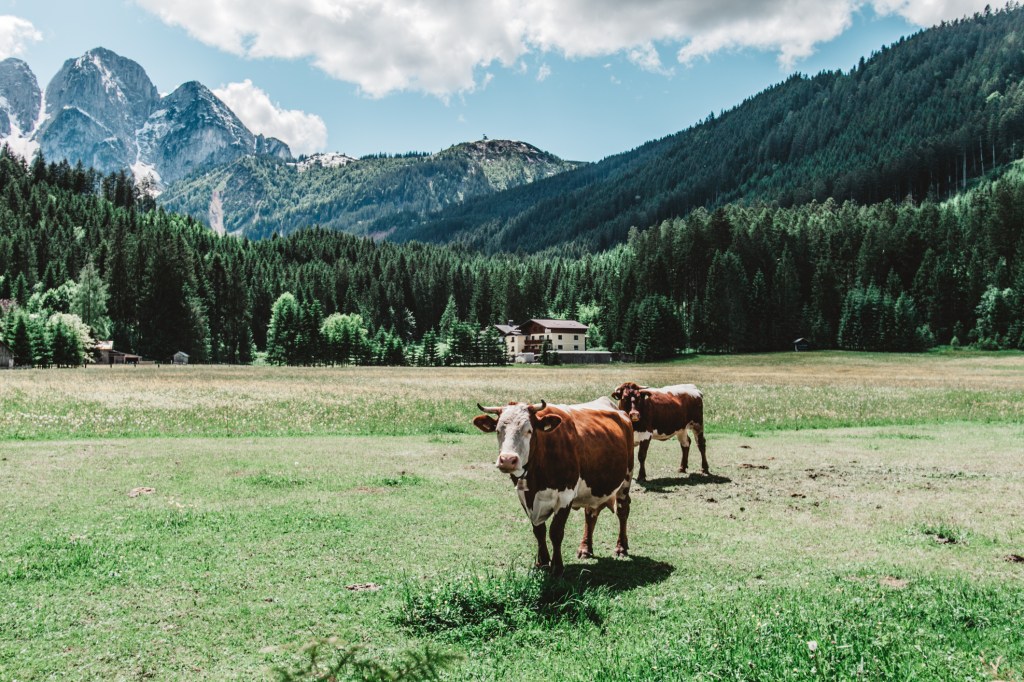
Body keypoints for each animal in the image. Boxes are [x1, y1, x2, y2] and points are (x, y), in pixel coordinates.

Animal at [471, 399, 630, 573]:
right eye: (498, 430)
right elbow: (539, 531)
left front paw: (557, 566)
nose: (507, 460)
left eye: (529, 430)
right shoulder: (525, 497)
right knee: (590, 514)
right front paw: (542, 562)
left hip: (625, 481)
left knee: (623, 511)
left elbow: (556, 532)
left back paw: (621, 547)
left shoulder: (565, 496)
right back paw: (585, 549)